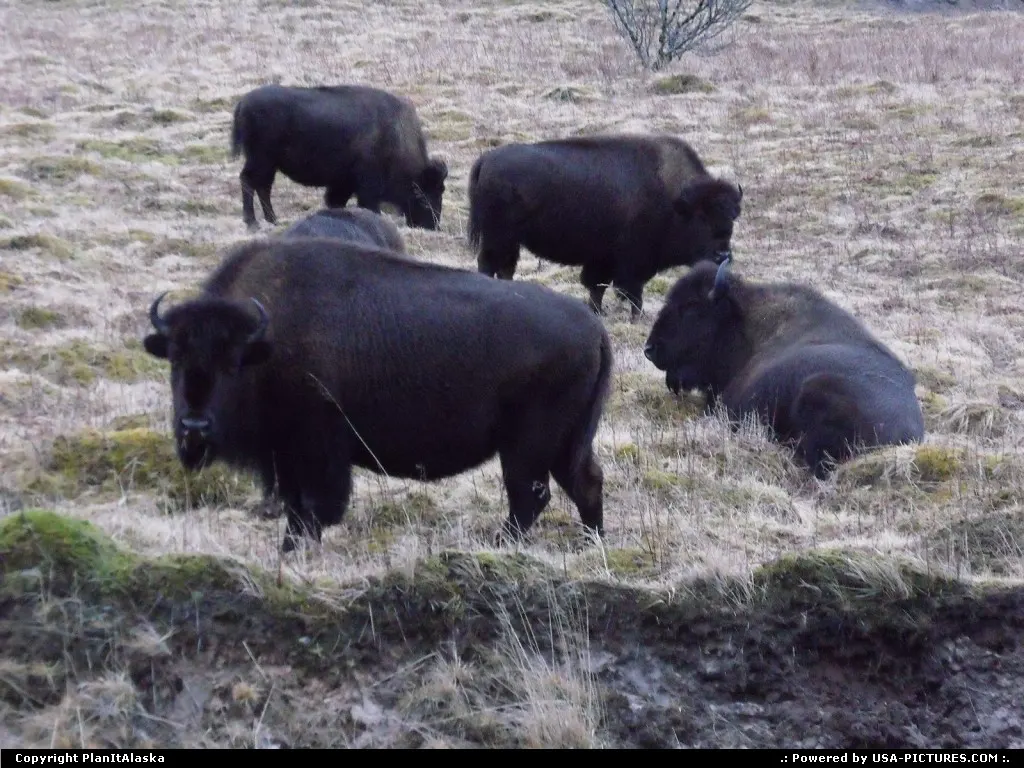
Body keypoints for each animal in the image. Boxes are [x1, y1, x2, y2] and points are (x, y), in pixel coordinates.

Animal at [142, 237, 612, 553]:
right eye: (175, 360)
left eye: (233, 364)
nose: (194, 425)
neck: (268, 341)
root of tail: (593, 329)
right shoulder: (286, 455)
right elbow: (296, 507)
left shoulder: (316, 450)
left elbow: (314, 506)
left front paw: (295, 549)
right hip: (564, 444)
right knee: (584, 483)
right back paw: (590, 544)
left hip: (526, 447)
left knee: (531, 496)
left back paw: (499, 544)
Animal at [230, 84, 448, 232]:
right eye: (423, 194)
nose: (432, 225)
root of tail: (243, 103)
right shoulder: (366, 187)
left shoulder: (343, 184)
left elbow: (335, 202)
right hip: (261, 160)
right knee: (249, 181)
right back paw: (253, 223)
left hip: (269, 164)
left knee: (262, 186)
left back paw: (272, 220)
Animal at [467, 134, 743, 320]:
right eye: (701, 217)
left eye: (732, 217)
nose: (722, 255)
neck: (674, 201)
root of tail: (486, 160)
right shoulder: (631, 263)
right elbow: (630, 291)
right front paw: (635, 317)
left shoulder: (602, 259)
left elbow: (596, 286)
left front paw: (597, 311)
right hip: (498, 237)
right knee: (488, 263)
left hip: (509, 241)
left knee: (504, 267)